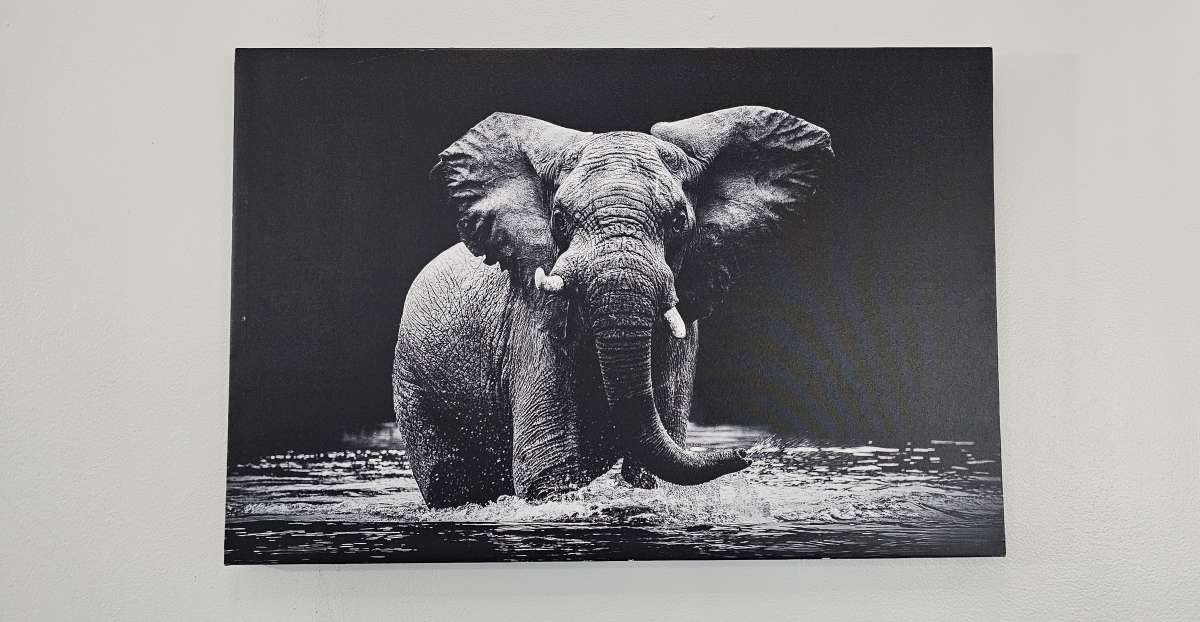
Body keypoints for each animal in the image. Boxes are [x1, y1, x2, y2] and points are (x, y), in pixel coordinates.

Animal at [393, 106, 833, 508]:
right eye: (559, 218)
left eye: (678, 220)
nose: (746, 453)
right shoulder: (534, 318)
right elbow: (546, 473)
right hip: (414, 387)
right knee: (448, 483)